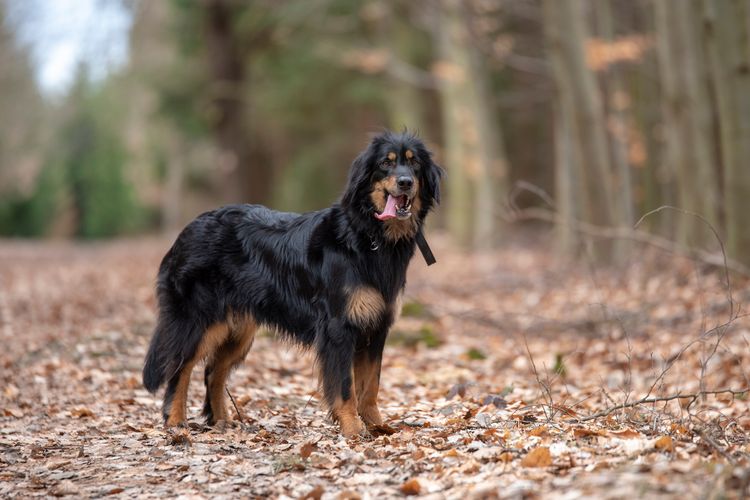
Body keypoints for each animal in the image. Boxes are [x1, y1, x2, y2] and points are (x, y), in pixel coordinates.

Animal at [142, 131, 440, 436]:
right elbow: (345, 386)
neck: (368, 235)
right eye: (385, 163)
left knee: (213, 370)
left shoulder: (376, 326)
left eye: (414, 164)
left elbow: (371, 385)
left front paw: (377, 426)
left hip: (238, 329)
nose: (405, 182)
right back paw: (176, 421)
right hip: (199, 320)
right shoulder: (339, 328)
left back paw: (222, 421)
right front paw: (353, 428)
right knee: (180, 367)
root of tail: (186, 231)